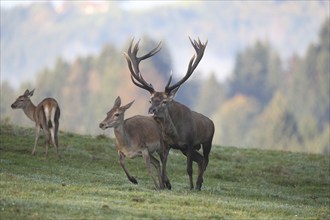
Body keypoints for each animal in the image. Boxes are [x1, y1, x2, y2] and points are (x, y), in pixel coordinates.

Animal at [124, 37, 214, 189]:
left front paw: (190, 187)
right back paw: (198, 183)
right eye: (150, 100)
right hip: (185, 149)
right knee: (201, 160)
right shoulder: (166, 144)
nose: (151, 110)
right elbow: (164, 164)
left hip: (207, 142)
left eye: (164, 101)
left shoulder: (190, 142)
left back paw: (197, 184)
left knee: (206, 160)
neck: (175, 134)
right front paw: (165, 183)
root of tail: (211, 122)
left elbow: (188, 168)